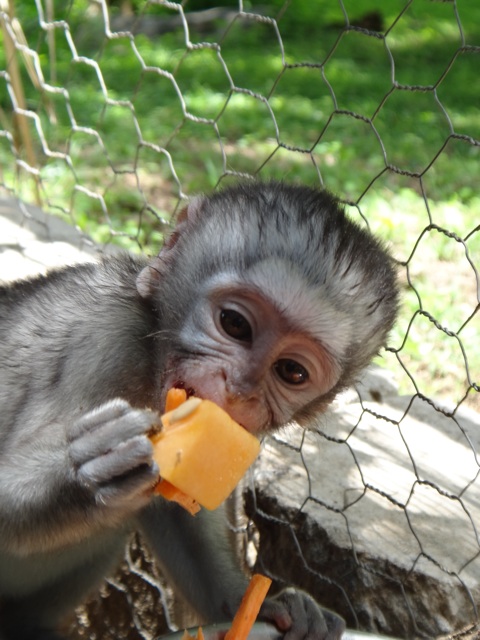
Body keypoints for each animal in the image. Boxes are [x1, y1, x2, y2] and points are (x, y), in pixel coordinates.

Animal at [0, 181, 398, 640]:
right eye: (235, 324)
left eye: (291, 371)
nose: (238, 388)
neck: (151, 351)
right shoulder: (100, 338)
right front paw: (87, 472)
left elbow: (181, 517)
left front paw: (267, 605)